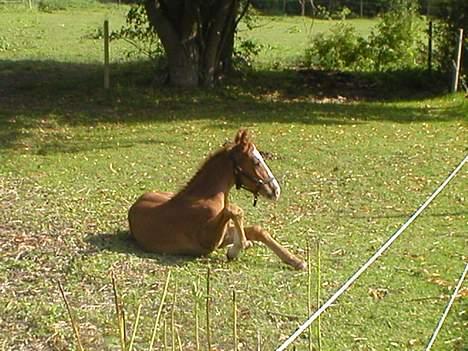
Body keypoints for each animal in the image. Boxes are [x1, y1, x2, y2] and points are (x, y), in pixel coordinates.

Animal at [127, 129, 308, 270]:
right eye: (256, 161)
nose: (276, 190)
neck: (206, 197)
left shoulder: (223, 235)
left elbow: (257, 230)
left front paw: (296, 261)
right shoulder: (209, 242)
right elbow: (235, 210)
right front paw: (237, 248)